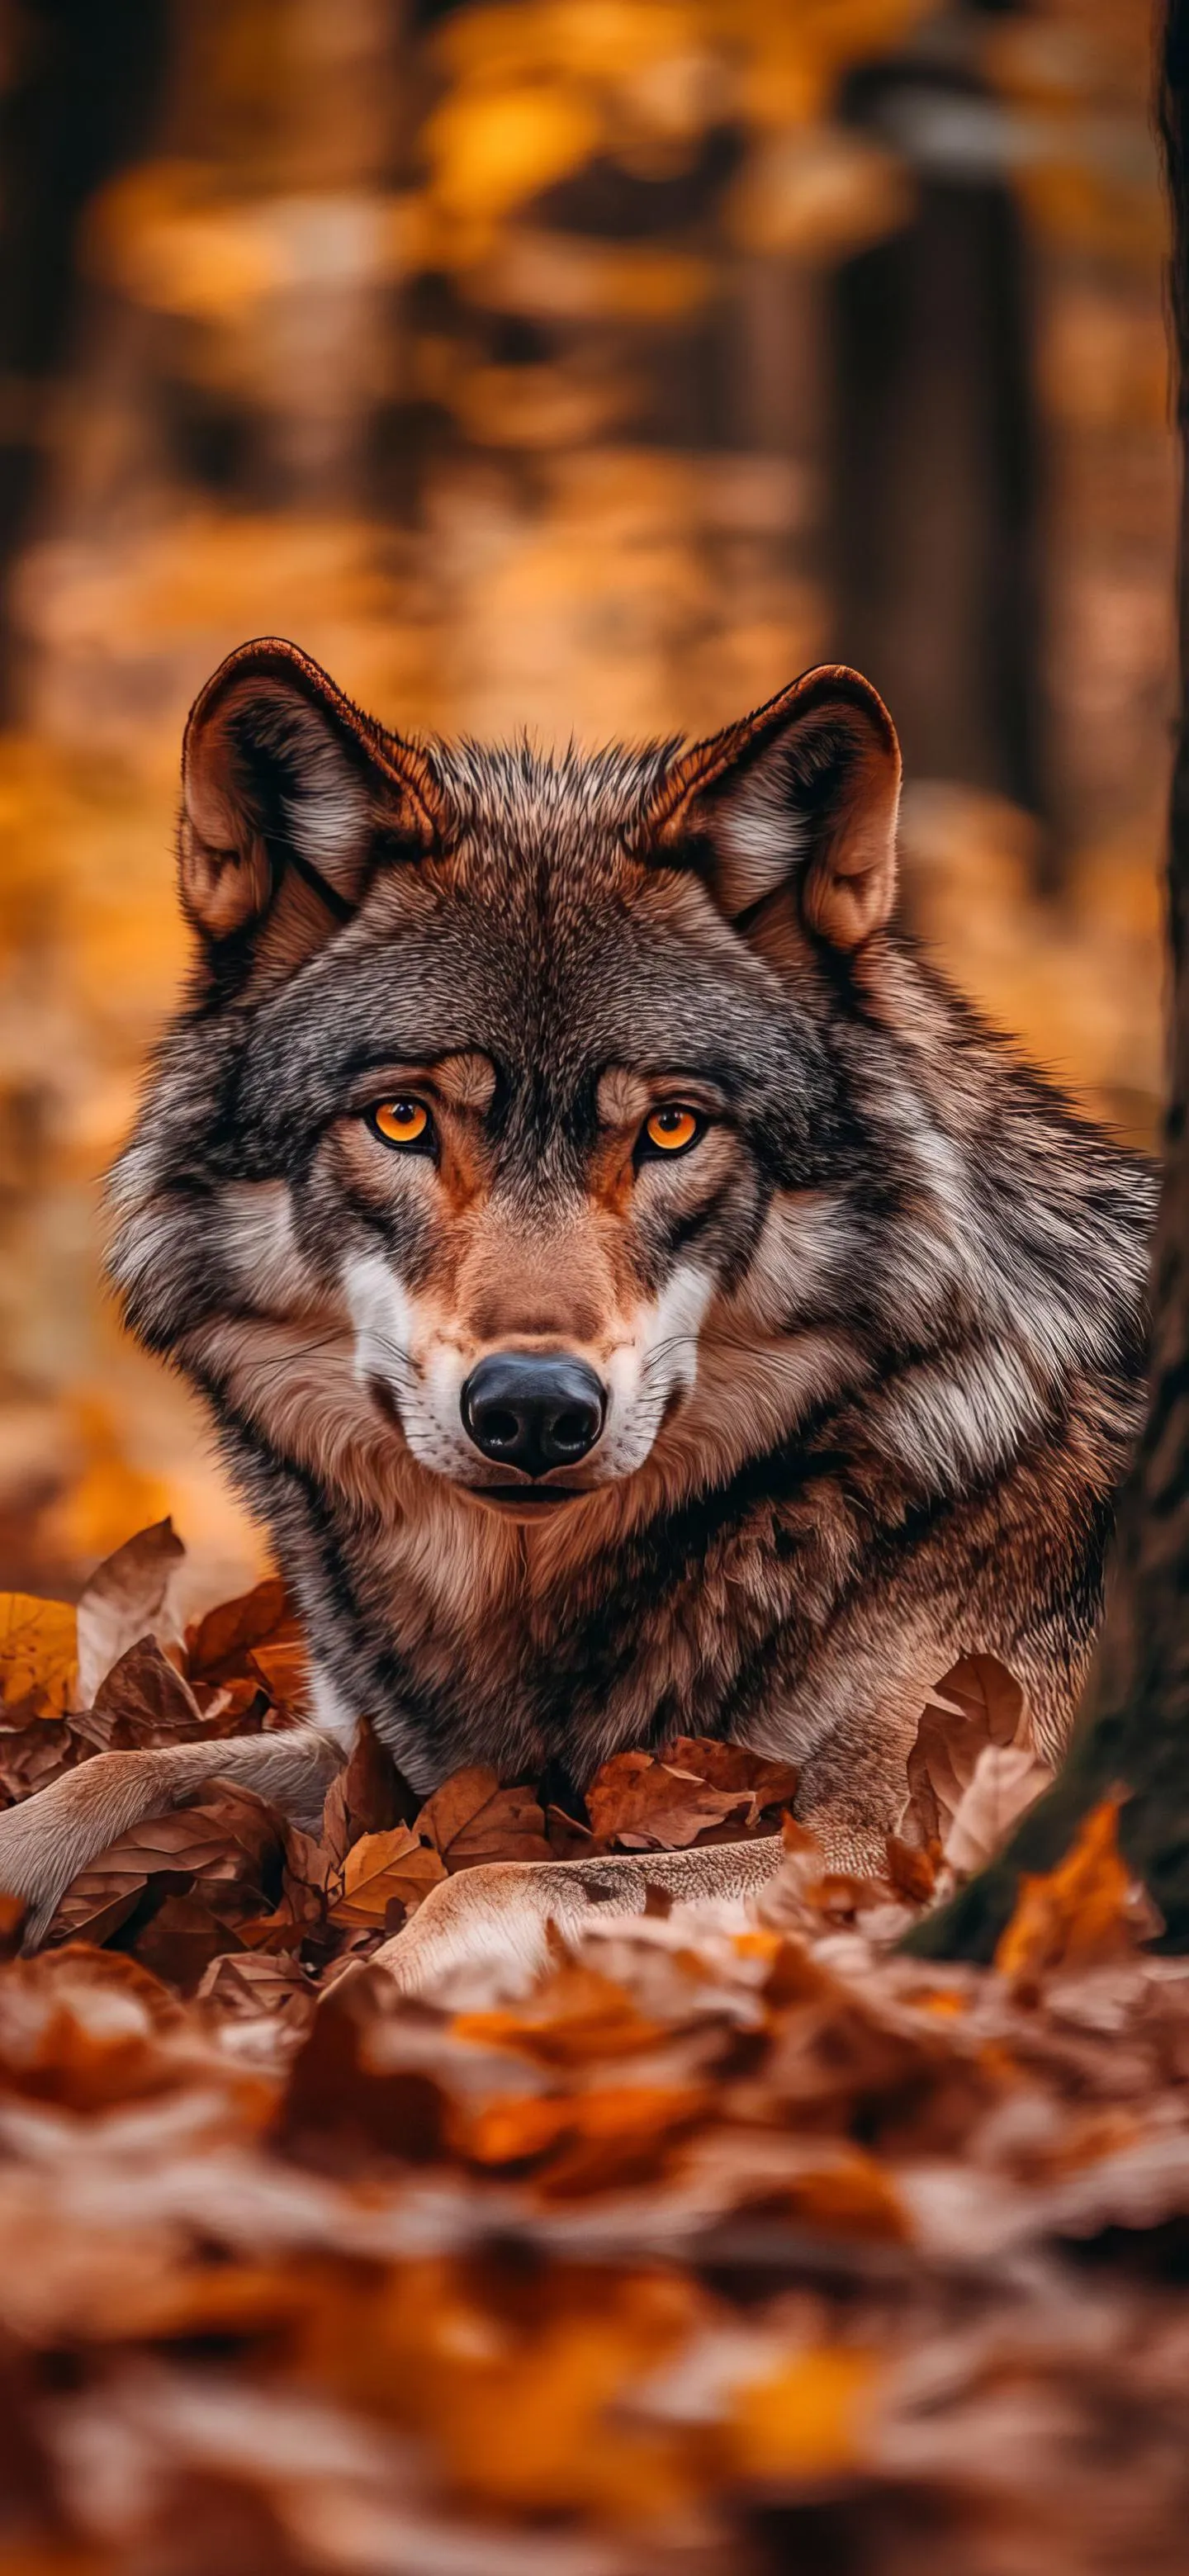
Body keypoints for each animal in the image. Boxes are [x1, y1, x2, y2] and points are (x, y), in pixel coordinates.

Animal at [0, 637, 1154, 1984]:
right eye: (404, 1118)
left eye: (672, 1129)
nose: (536, 1411)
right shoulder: (396, 1754)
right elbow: (115, 1775)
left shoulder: (902, 1837)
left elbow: (480, 1887)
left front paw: (354, 2012)